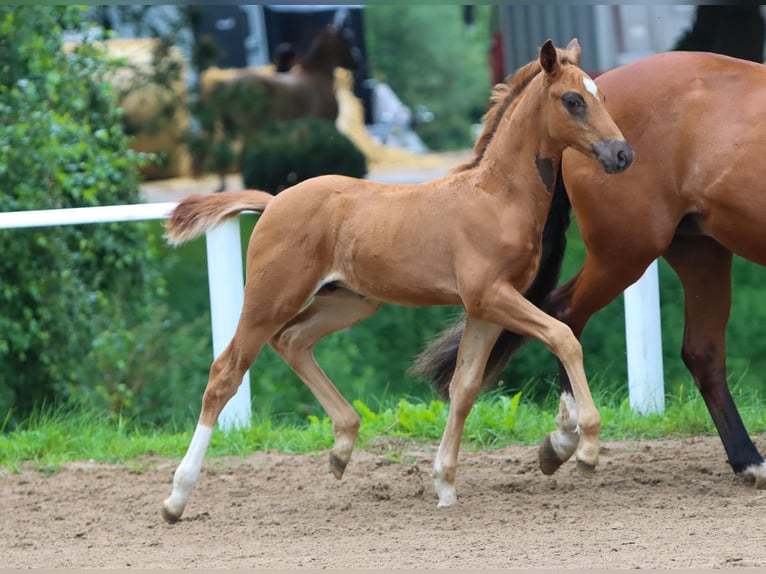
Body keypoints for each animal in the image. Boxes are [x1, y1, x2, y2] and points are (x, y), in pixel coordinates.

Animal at [159, 37, 632, 528]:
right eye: (573, 100)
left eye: (601, 95)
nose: (622, 154)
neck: (496, 197)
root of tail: (273, 202)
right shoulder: (491, 296)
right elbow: (563, 337)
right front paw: (588, 447)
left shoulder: (485, 309)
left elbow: (464, 386)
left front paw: (445, 483)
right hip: (270, 298)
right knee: (226, 373)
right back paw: (177, 497)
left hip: (349, 301)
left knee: (292, 340)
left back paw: (342, 448)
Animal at [414, 50, 766, 490]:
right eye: (573, 101)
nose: (620, 155)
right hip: (626, 252)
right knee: (565, 312)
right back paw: (569, 437)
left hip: (701, 251)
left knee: (702, 351)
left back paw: (749, 462)